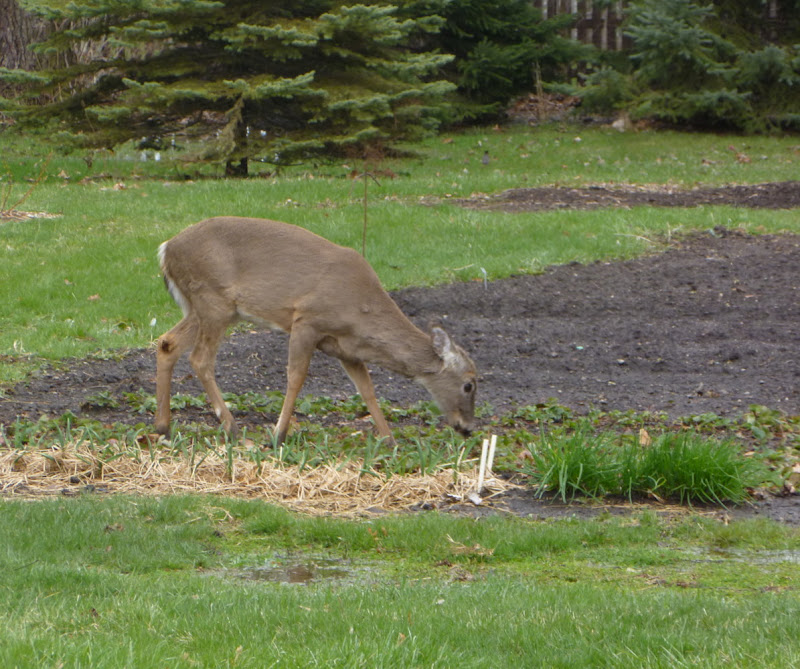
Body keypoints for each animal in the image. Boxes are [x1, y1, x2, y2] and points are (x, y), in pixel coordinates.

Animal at [153, 217, 477, 445]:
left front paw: (389, 440)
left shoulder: (347, 349)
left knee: (167, 343)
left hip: (209, 309)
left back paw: (163, 426)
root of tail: (165, 248)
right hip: (213, 300)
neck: (361, 310)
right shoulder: (307, 320)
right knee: (200, 358)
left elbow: (367, 390)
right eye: (469, 384)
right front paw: (278, 436)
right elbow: (296, 377)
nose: (468, 428)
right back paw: (232, 428)